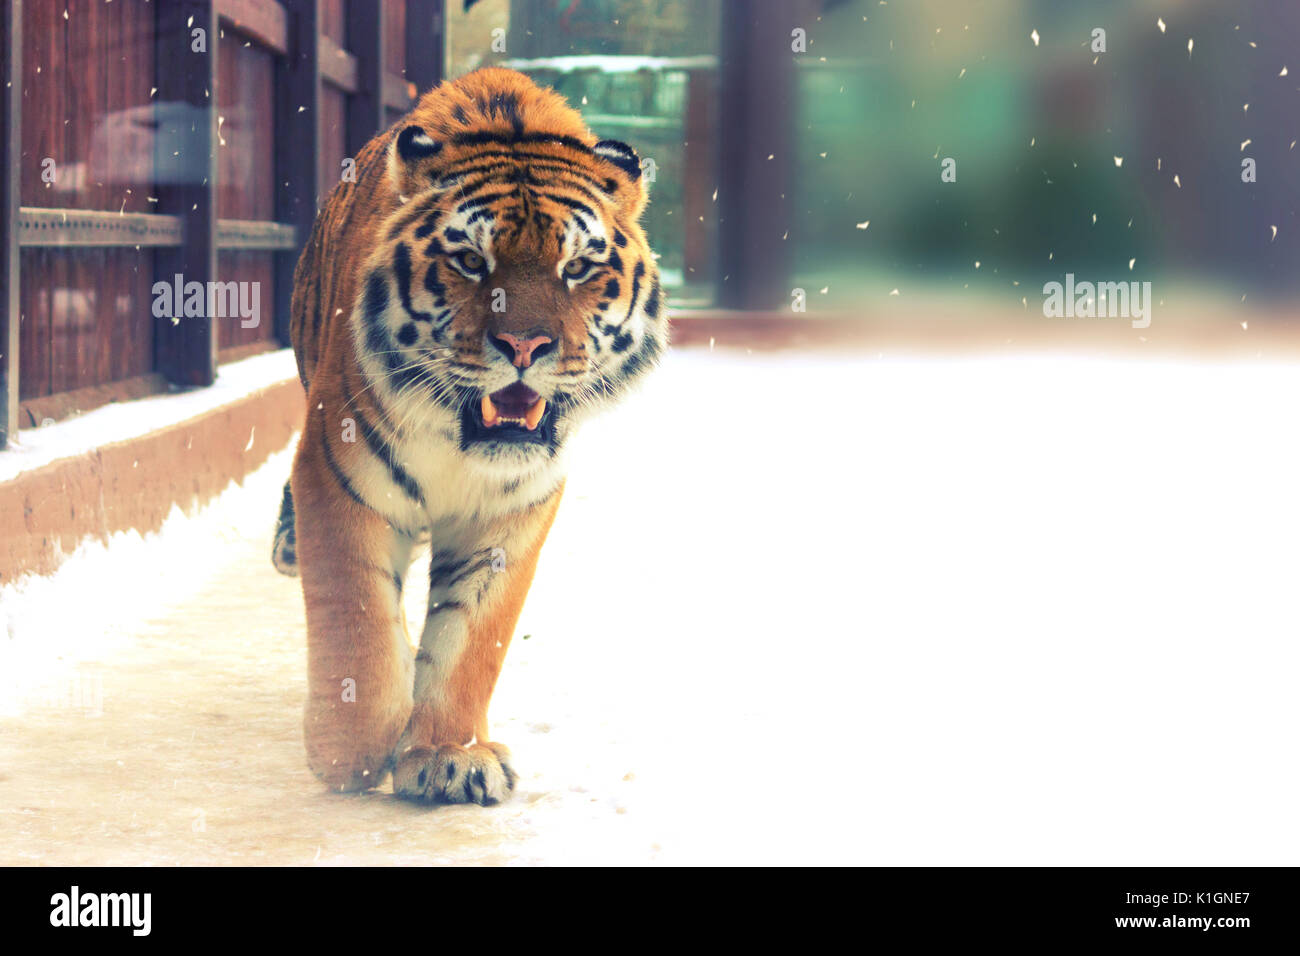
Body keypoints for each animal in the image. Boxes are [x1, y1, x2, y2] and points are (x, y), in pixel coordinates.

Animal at [272, 67, 666, 803]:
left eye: (577, 267)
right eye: (470, 261)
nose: (526, 344)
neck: (459, 443)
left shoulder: (512, 513)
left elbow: (471, 643)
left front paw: (448, 756)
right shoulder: (340, 478)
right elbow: (359, 624)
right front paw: (347, 752)